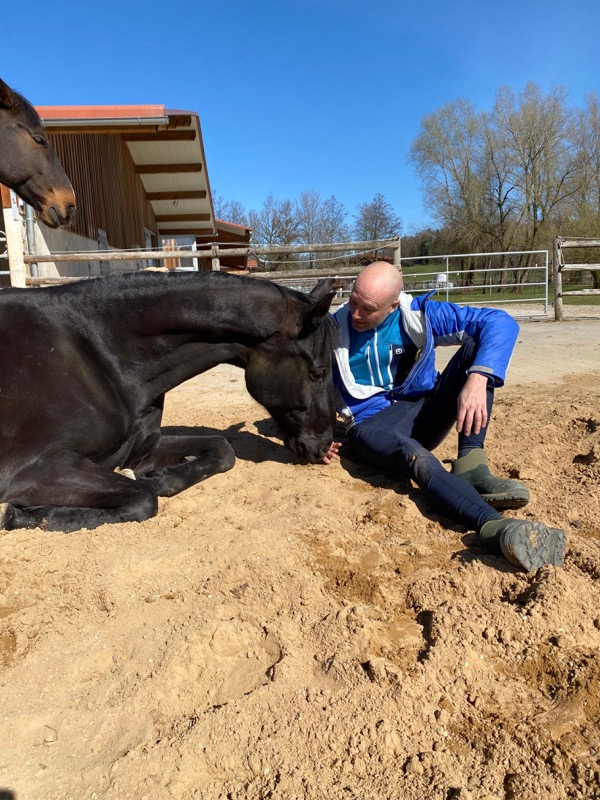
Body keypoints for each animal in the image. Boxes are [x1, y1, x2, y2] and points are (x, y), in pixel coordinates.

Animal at [0, 270, 338, 533]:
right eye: (319, 372)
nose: (324, 446)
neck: (101, 354)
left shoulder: (139, 451)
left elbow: (221, 449)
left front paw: (162, 477)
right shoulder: (33, 470)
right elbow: (143, 499)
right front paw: (28, 517)